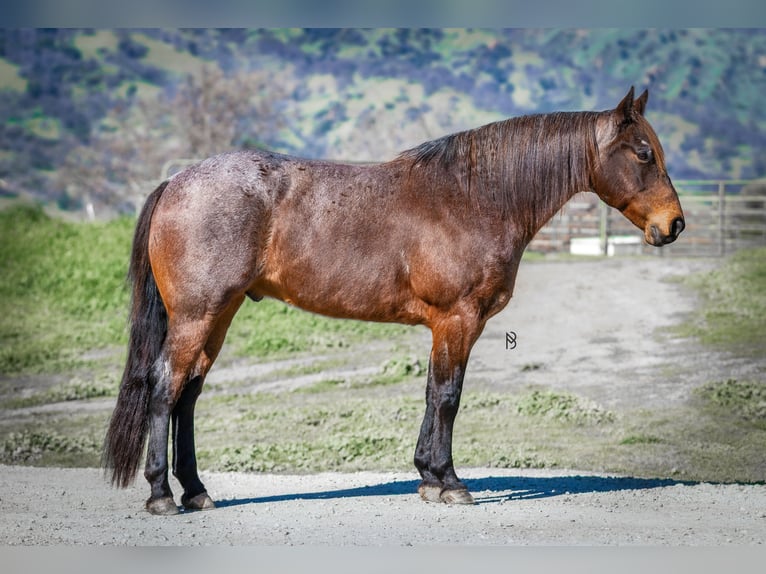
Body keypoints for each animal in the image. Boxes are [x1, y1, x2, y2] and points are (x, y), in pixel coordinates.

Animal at [103, 87, 685, 514]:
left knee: (188, 395)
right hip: (197, 316)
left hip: (217, 316)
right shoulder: (458, 319)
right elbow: (448, 396)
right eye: (643, 153)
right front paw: (450, 483)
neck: (473, 196)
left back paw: (197, 492)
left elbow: (432, 393)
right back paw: (161, 495)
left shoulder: (447, 326)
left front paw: (428, 477)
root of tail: (176, 181)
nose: (674, 224)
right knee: (164, 388)